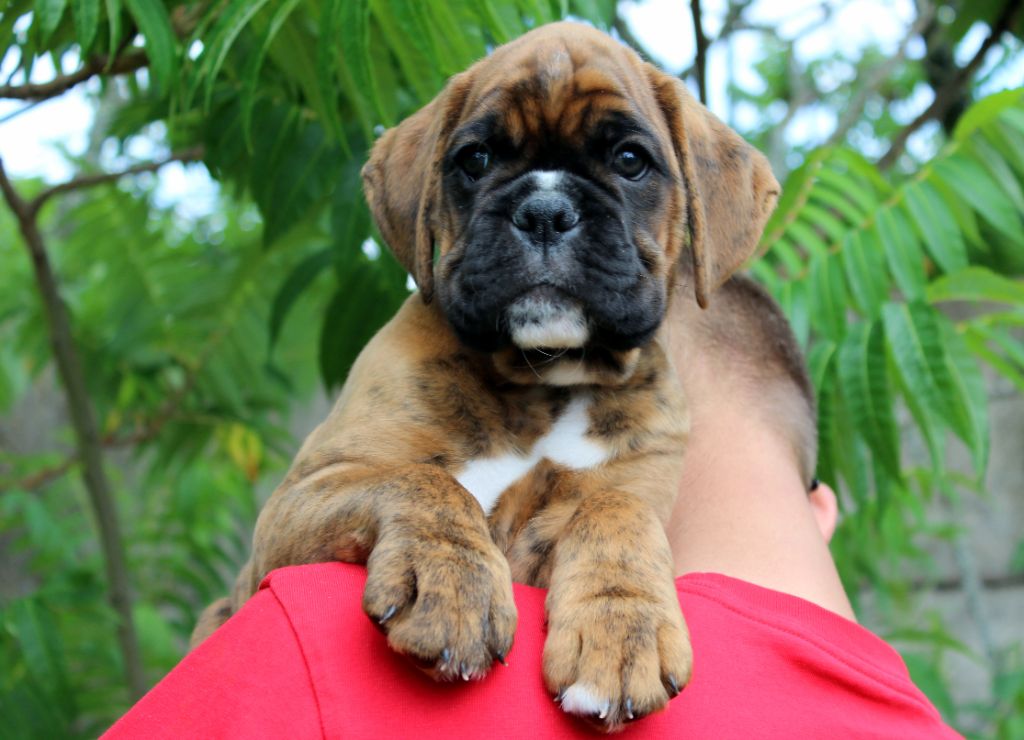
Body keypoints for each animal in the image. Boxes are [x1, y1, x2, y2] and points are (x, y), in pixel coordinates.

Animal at [192, 21, 778, 731]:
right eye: (474, 160)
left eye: (630, 160)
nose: (546, 211)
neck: (543, 380)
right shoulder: (304, 495)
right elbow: (427, 484)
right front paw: (451, 583)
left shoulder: (622, 489)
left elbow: (616, 510)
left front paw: (620, 627)